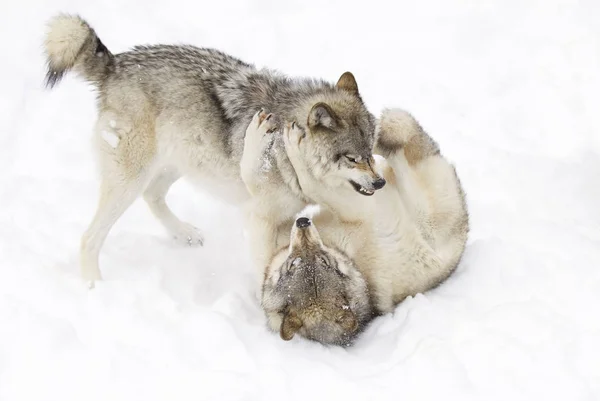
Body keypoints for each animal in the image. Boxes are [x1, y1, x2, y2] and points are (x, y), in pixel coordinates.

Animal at [44, 11, 386, 282]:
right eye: (352, 158)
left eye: (371, 152)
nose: (380, 182)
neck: (286, 152)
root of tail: (116, 64)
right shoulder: (258, 217)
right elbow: (266, 262)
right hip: (131, 178)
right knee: (89, 237)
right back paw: (94, 286)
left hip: (183, 161)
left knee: (152, 195)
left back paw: (184, 233)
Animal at [239, 108, 468, 344]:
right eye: (293, 264)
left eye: (324, 261)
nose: (303, 222)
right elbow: (273, 189)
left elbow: (259, 180)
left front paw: (269, 135)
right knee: (400, 145)